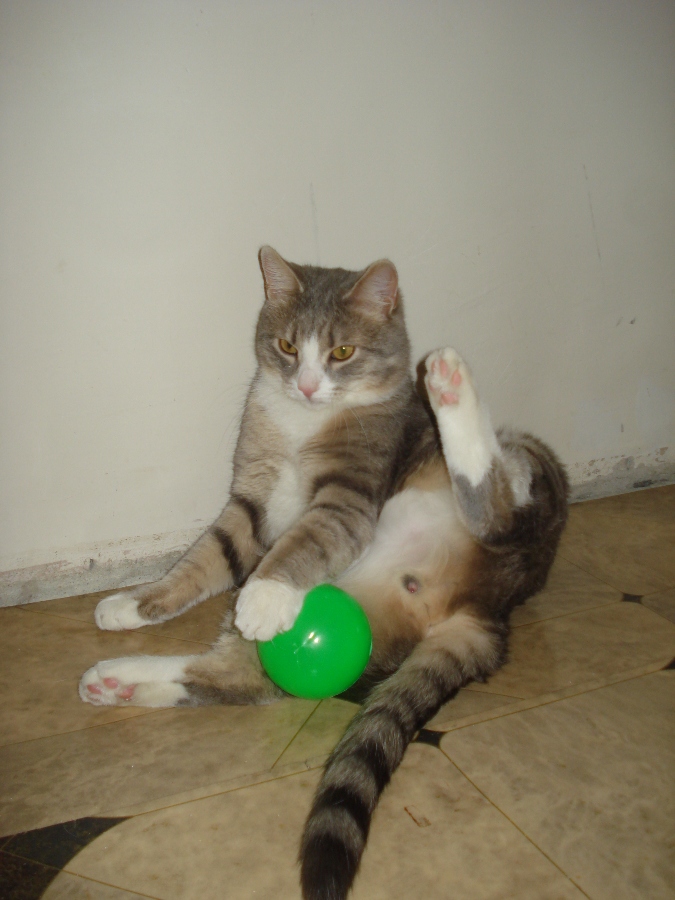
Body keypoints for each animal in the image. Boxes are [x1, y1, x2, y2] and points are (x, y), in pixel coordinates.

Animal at [80, 246, 568, 900]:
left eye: (342, 352)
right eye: (288, 346)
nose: (308, 385)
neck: (301, 424)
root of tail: (491, 608)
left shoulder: (348, 500)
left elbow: (301, 543)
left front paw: (265, 594)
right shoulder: (252, 502)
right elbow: (207, 557)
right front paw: (136, 602)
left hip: (533, 479)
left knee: (498, 511)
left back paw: (449, 385)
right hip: (366, 614)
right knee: (235, 676)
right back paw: (119, 682)